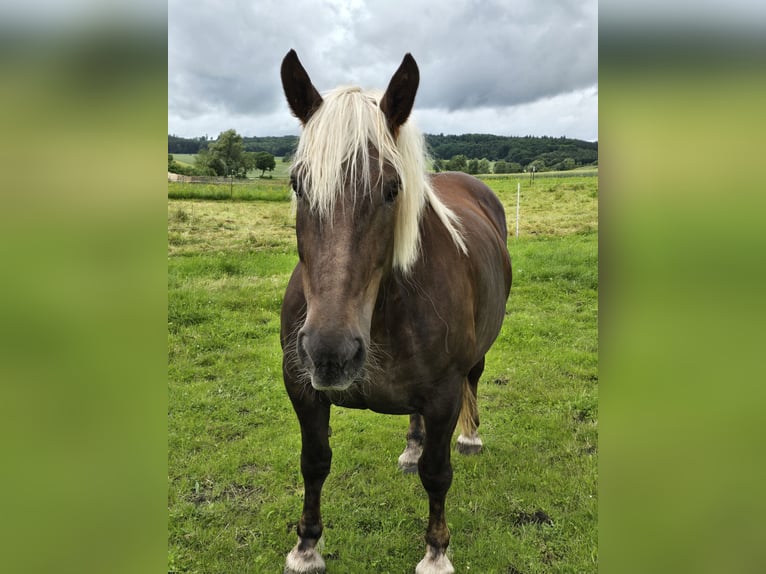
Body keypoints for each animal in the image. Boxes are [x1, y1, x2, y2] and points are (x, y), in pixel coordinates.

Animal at [280, 50, 512, 574]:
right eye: (298, 184)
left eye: (391, 189)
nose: (330, 353)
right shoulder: (302, 388)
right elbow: (314, 461)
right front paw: (306, 546)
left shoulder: (444, 394)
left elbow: (438, 473)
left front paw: (436, 551)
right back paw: (410, 446)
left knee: (473, 383)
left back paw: (470, 437)